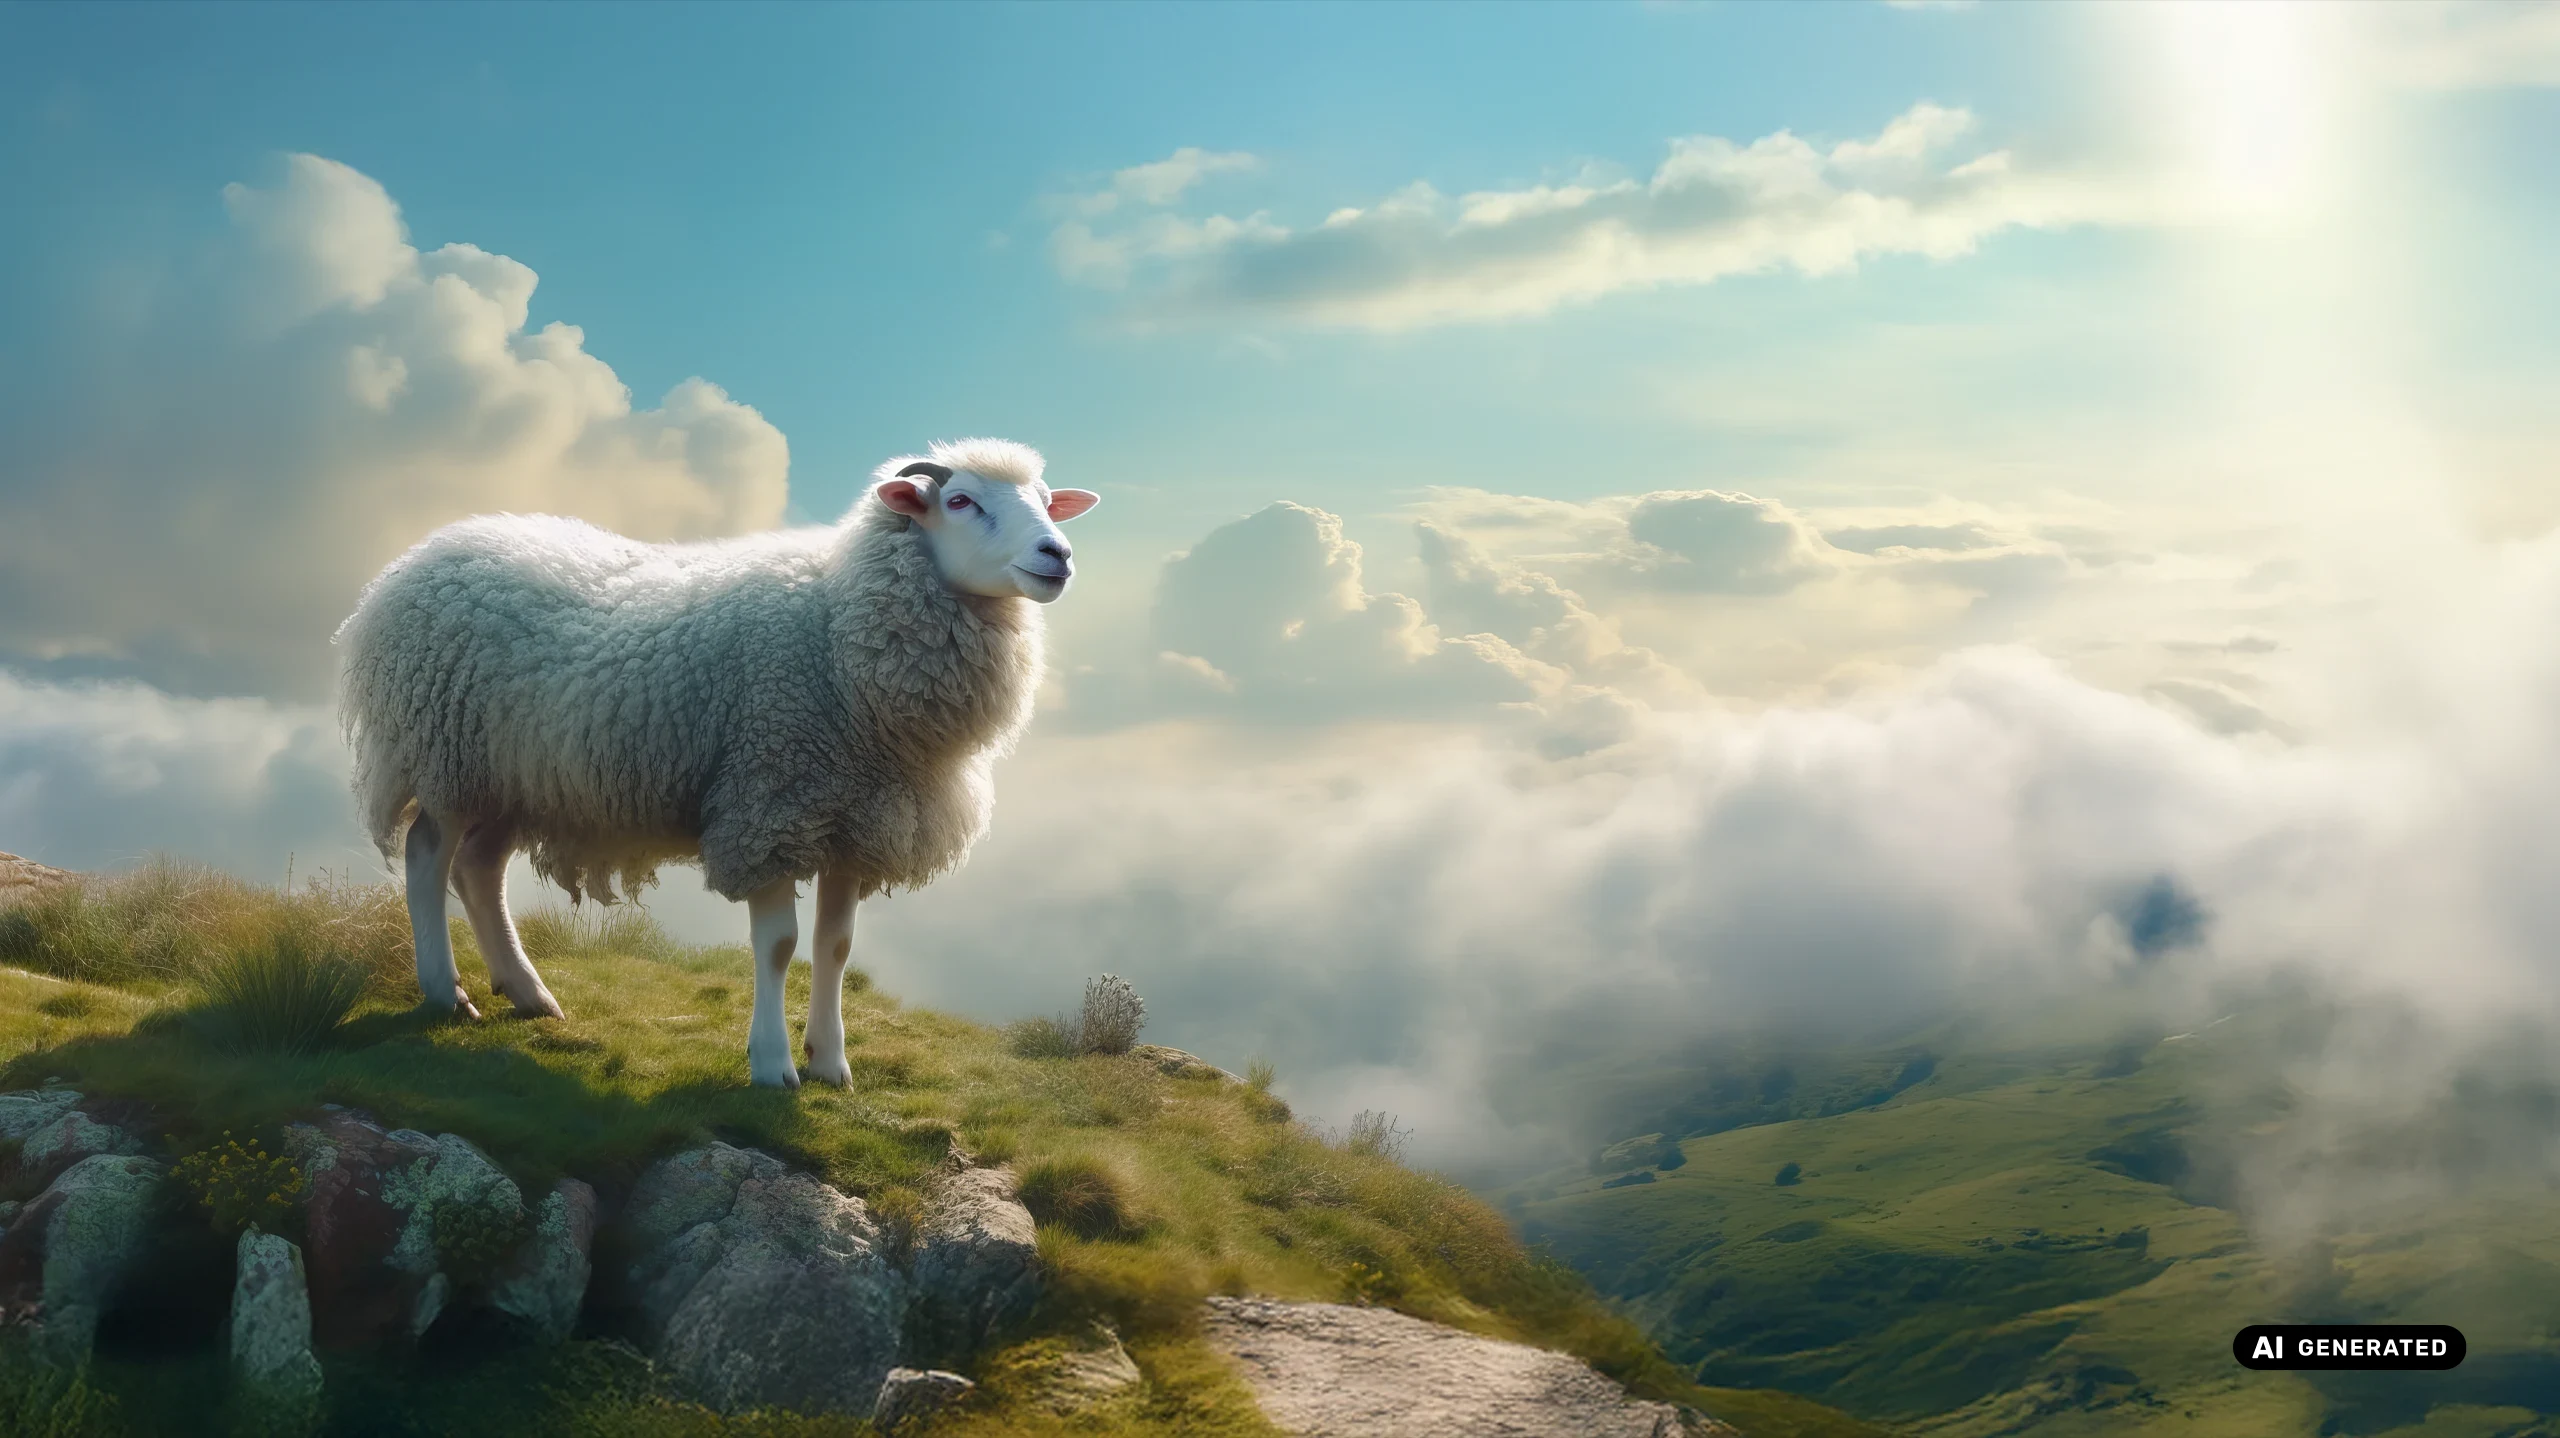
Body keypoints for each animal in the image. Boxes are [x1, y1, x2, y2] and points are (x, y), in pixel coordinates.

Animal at [335, 438, 1099, 1088]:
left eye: (1043, 498)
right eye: (961, 500)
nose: (1057, 554)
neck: (837, 630)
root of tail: (409, 564)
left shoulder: (852, 817)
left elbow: (836, 947)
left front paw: (832, 1065)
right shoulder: (769, 801)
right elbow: (780, 946)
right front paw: (772, 1066)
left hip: (517, 777)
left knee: (479, 869)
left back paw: (529, 994)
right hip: (443, 754)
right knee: (428, 854)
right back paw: (447, 994)